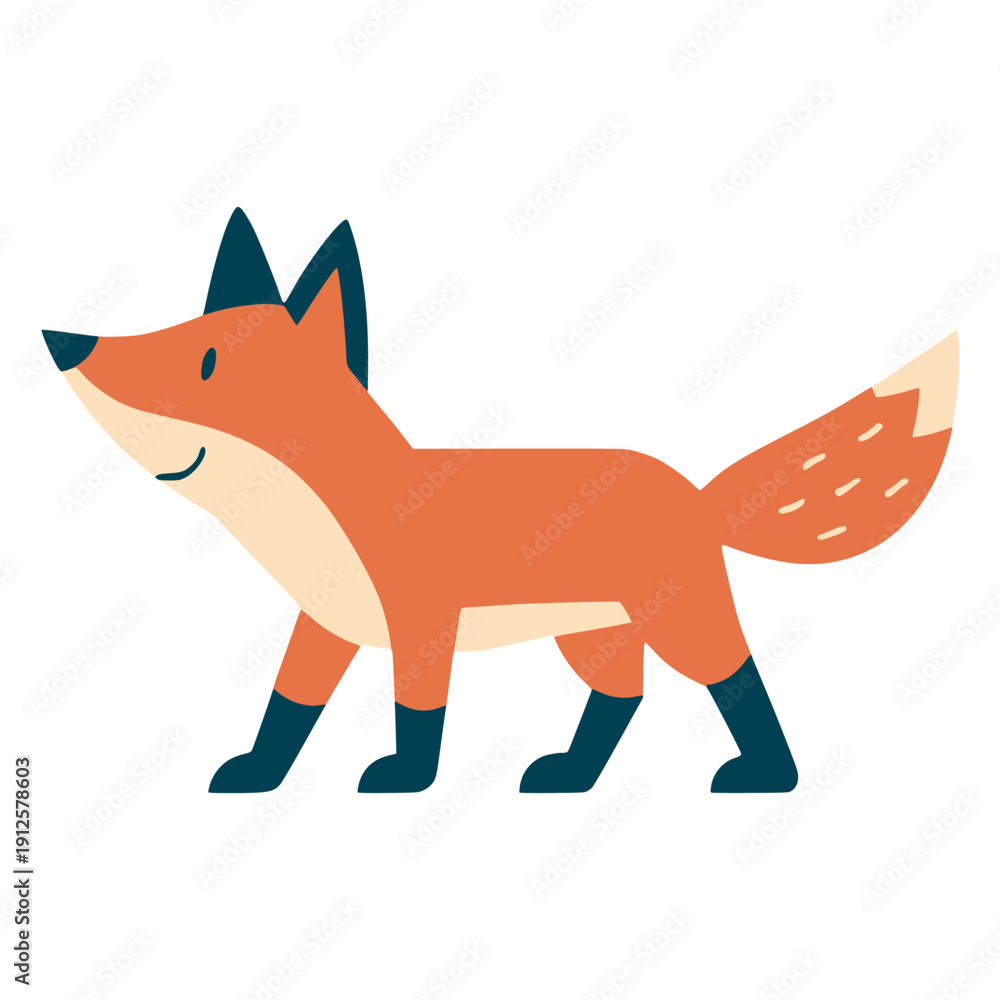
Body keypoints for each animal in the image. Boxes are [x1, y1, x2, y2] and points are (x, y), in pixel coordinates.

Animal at [42, 208, 959, 795]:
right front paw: (258, 775)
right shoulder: (327, 625)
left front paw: (406, 779)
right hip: (592, 631)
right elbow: (287, 710)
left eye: (205, 362)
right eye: (166, 336)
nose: (63, 342)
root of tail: (696, 493)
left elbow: (418, 710)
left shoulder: (422, 620)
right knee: (623, 696)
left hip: (675, 616)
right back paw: (570, 776)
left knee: (734, 679)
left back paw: (766, 776)